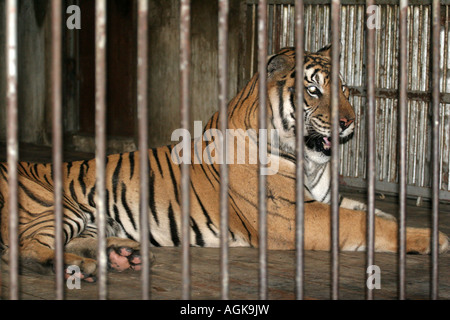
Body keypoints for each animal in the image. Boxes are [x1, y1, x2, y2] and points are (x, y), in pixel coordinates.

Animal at [0, 43, 448, 282]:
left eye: (345, 90)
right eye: (314, 90)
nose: (348, 122)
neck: (310, 160)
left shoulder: (326, 200)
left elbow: (377, 213)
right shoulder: (292, 215)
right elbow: (368, 224)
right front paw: (436, 239)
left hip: (90, 218)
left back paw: (121, 256)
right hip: (57, 206)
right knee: (22, 249)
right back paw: (83, 269)